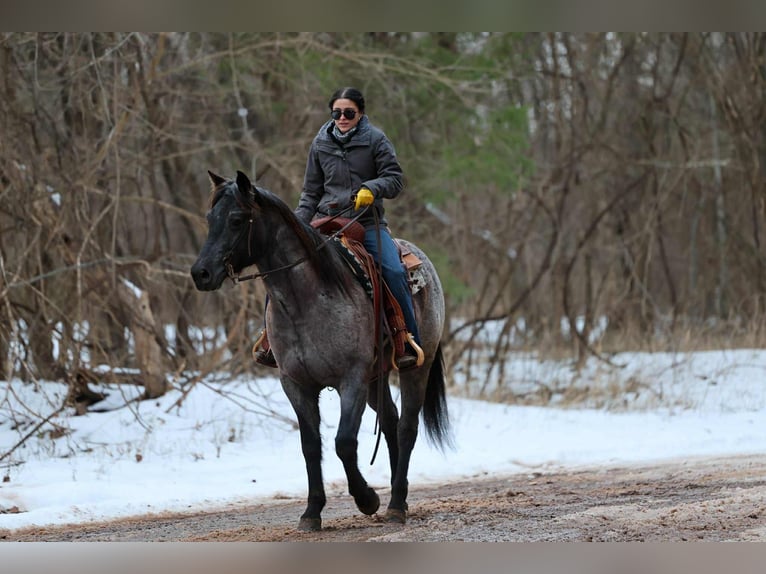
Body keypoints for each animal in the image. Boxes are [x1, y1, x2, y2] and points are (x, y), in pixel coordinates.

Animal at [190, 170, 451, 531]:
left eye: (236, 219)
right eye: (209, 218)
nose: (200, 273)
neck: (307, 301)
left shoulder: (351, 380)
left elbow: (344, 443)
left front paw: (367, 499)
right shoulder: (296, 384)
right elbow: (311, 445)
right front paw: (312, 511)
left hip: (414, 370)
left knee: (406, 427)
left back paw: (396, 503)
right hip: (376, 378)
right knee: (390, 421)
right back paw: (399, 499)